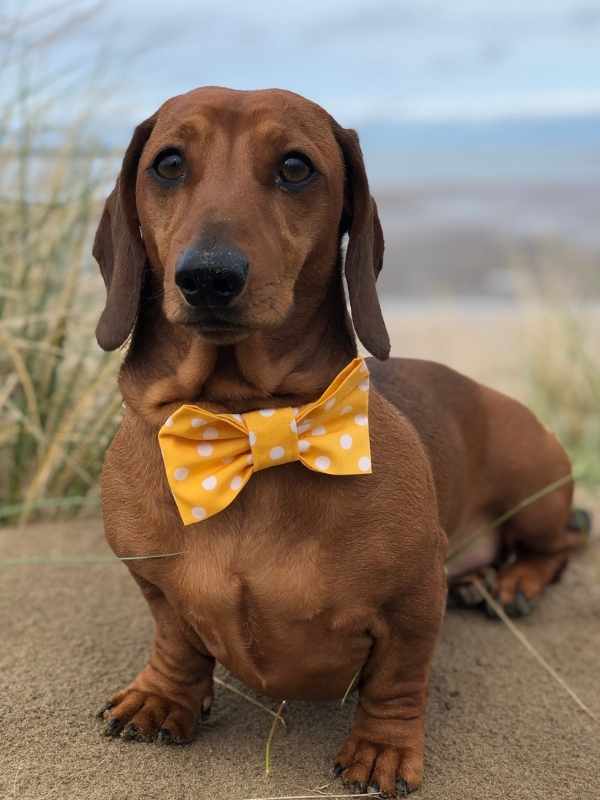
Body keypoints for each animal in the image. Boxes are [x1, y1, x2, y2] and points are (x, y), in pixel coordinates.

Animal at [96, 84, 588, 796]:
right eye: (168, 164)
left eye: (296, 167)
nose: (209, 277)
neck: (248, 421)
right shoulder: (153, 584)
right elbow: (176, 640)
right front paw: (162, 697)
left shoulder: (414, 601)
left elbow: (397, 681)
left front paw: (382, 750)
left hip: (535, 488)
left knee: (563, 545)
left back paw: (514, 581)